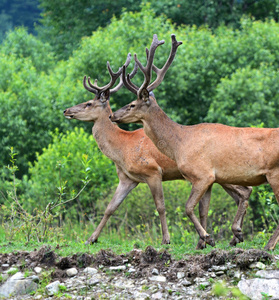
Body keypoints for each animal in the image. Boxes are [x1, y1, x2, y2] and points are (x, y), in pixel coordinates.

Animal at [64, 52, 253, 248]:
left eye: (88, 103)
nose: (66, 110)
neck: (122, 148)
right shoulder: (127, 179)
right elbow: (110, 207)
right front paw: (91, 239)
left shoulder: (153, 171)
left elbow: (160, 206)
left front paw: (166, 239)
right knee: (242, 194)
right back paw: (233, 237)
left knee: (245, 191)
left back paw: (231, 235)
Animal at [110, 33, 279, 251]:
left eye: (131, 104)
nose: (113, 115)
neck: (180, 143)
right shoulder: (209, 179)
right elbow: (202, 210)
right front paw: (204, 242)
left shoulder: (202, 174)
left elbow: (188, 207)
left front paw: (208, 237)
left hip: (275, 173)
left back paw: (268, 245)